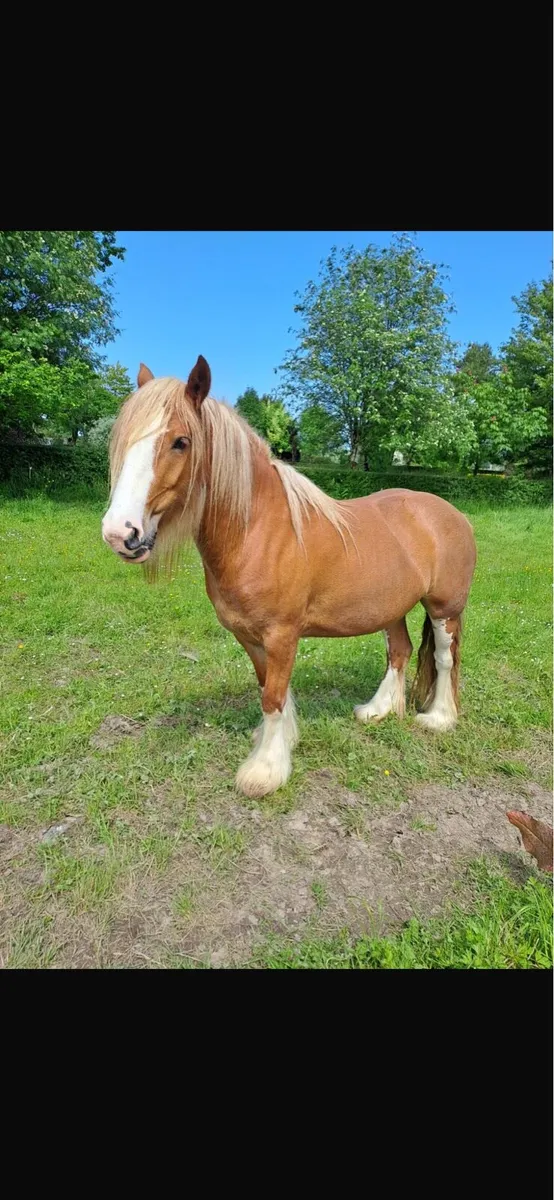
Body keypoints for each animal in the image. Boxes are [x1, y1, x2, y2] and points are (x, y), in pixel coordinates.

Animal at [101, 356, 477, 799]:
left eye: (180, 441)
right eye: (124, 440)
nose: (120, 533)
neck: (259, 530)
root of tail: (451, 513)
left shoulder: (282, 635)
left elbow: (274, 696)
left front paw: (265, 770)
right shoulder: (250, 638)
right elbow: (267, 689)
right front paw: (272, 740)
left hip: (444, 609)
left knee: (444, 658)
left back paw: (439, 718)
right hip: (391, 608)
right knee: (398, 652)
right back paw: (377, 710)